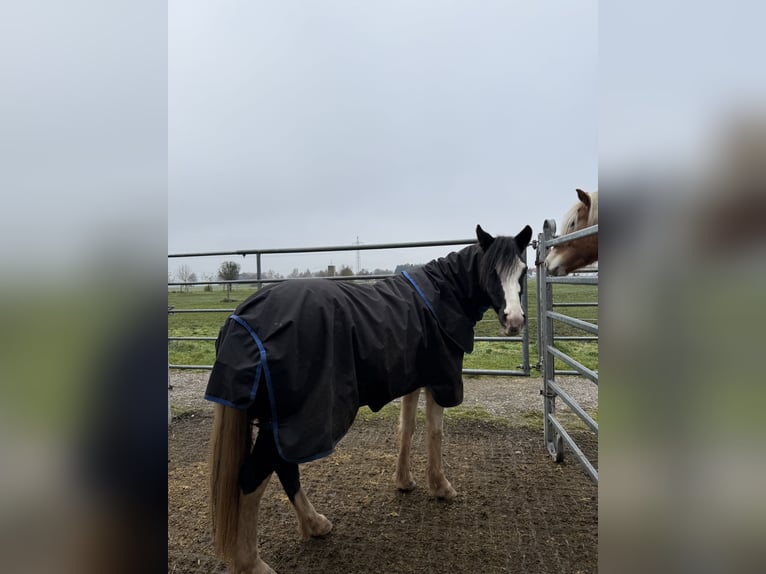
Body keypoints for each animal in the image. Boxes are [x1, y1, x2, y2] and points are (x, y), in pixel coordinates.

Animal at [205, 224, 532, 574]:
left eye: (523, 271)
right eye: (490, 271)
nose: (514, 321)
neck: (439, 297)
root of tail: (240, 319)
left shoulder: (413, 378)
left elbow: (407, 430)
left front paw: (405, 482)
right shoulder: (439, 380)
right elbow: (435, 433)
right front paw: (441, 487)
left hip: (279, 422)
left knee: (285, 470)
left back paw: (315, 525)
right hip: (294, 422)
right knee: (251, 480)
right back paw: (252, 563)